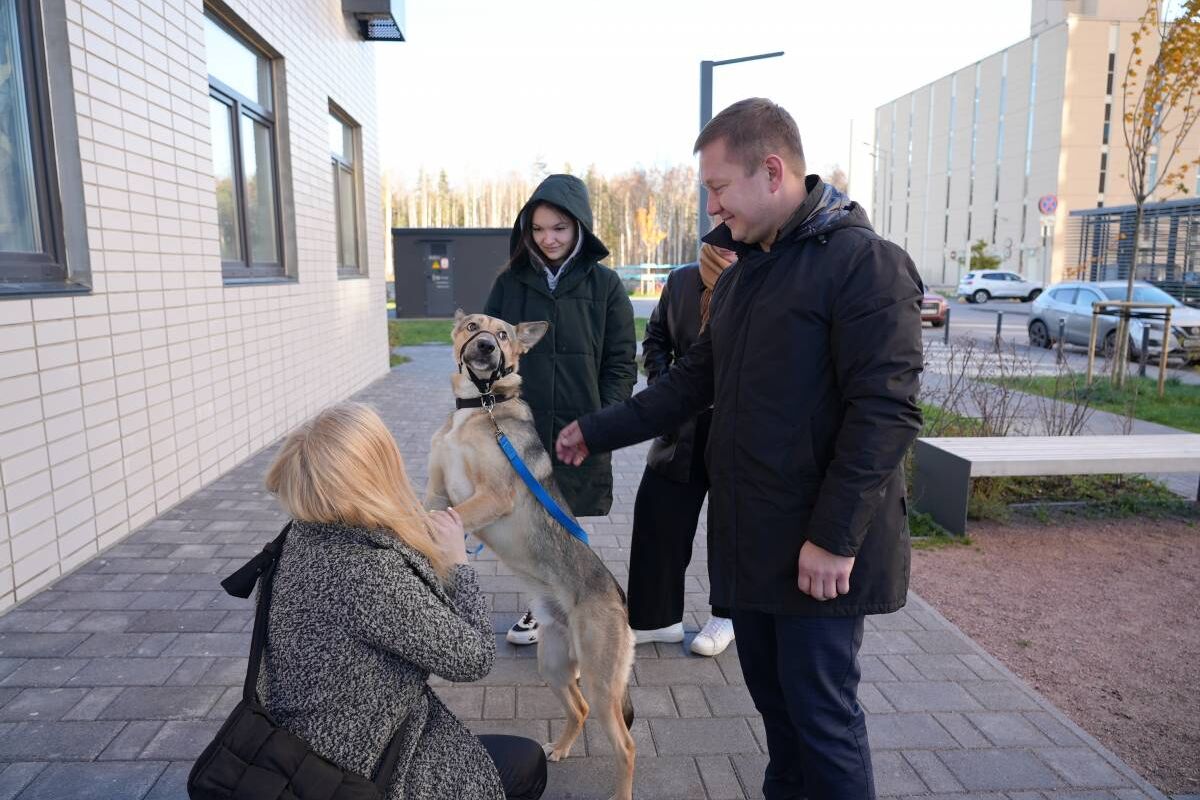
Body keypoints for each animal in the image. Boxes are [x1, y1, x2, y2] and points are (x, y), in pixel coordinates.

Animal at [427, 309, 638, 796]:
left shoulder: (490, 497)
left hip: (600, 681)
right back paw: (559, 748)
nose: (486, 347)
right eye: (473, 328)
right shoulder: (437, 493)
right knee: (578, 708)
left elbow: (437, 522)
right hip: (555, 665)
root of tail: (619, 601)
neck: (480, 407)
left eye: (504, 334)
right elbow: (415, 514)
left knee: (625, 745)